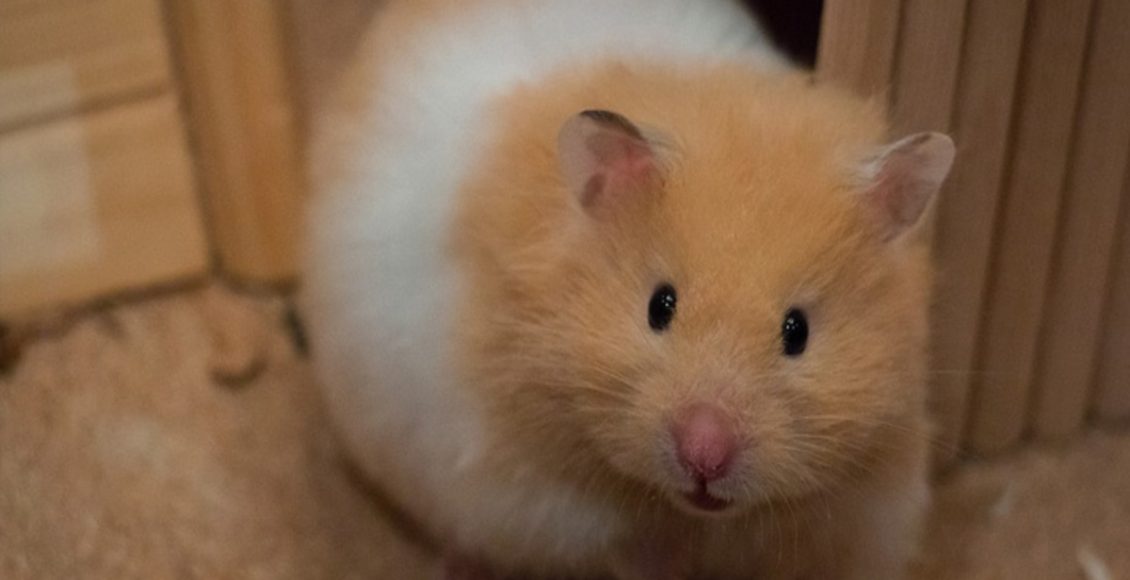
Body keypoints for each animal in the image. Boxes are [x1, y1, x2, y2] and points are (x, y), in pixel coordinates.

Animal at [302, 1, 955, 578]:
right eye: (658, 306)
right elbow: (622, 544)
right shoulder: (536, 498)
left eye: (798, 332)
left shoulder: (858, 511)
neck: (695, 515)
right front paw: (665, 563)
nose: (704, 454)